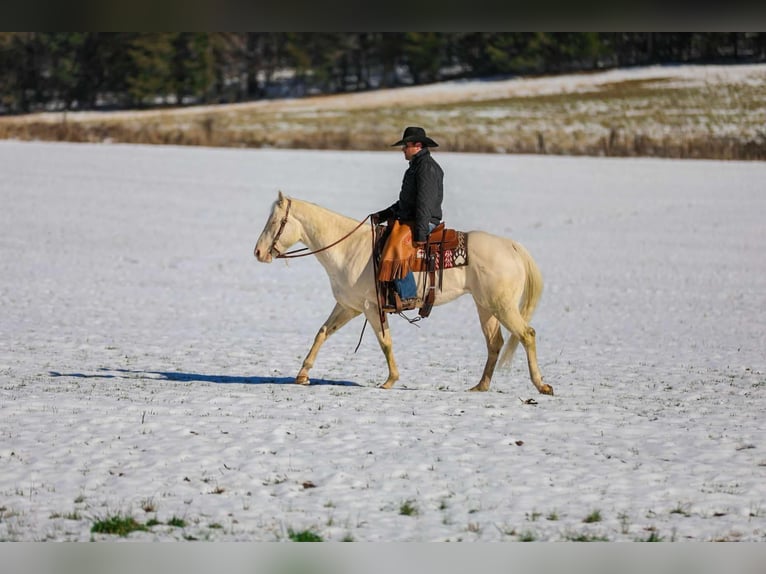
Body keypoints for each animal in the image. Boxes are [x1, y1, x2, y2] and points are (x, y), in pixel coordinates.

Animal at [255, 192, 556, 396]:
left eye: (275, 221)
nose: (258, 252)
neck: (350, 249)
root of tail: (512, 246)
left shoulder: (371, 307)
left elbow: (385, 342)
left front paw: (390, 380)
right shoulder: (349, 306)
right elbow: (323, 332)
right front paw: (302, 375)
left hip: (501, 306)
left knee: (527, 335)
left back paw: (541, 385)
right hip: (485, 307)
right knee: (495, 343)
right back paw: (480, 386)